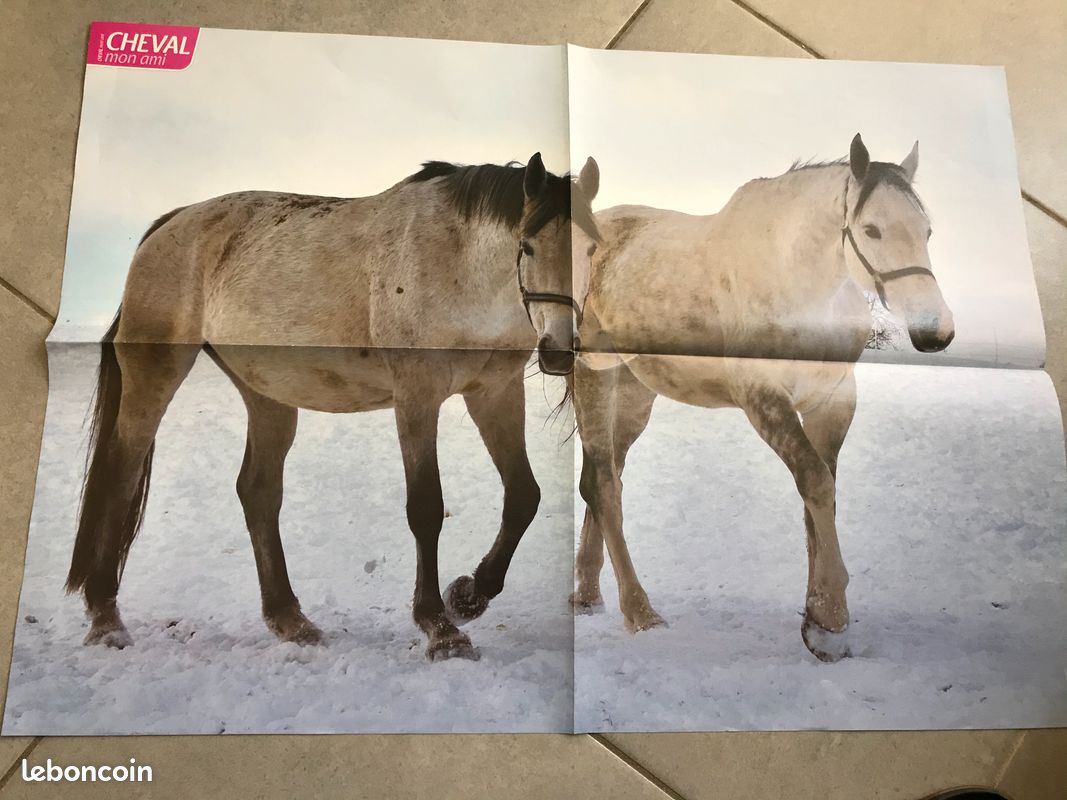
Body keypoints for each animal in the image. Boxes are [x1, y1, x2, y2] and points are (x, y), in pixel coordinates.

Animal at [66, 153, 601, 661]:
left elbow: (523, 496)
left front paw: (469, 596)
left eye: (591, 250)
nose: (559, 350)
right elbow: (426, 508)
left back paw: (290, 621)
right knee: (119, 476)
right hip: (154, 377)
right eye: (528, 246)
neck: (459, 265)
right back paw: (106, 620)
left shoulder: (493, 392)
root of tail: (168, 226)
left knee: (257, 493)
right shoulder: (417, 397)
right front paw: (440, 628)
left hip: (267, 395)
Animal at [571, 134, 954, 662]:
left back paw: (587, 594)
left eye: (927, 231)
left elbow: (820, 497)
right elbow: (816, 484)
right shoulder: (763, 400)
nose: (934, 332)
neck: (798, 287)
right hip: (593, 374)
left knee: (601, 476)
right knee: (605, 487)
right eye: (871, 229)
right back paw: (640, 612)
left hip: (633, 393)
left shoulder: (832, 402)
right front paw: (831, 622)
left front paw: (816, 614)